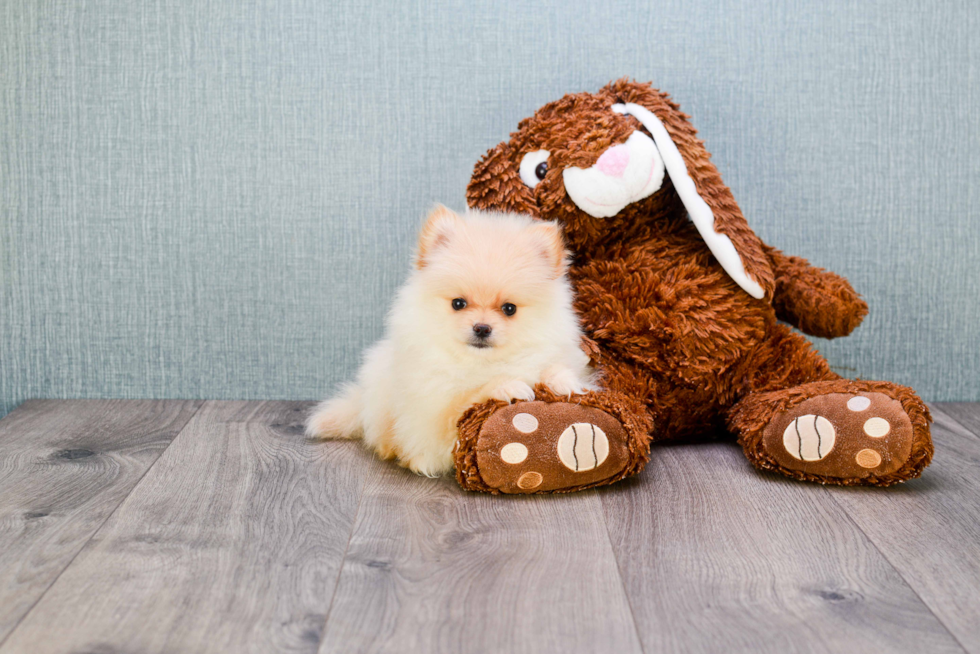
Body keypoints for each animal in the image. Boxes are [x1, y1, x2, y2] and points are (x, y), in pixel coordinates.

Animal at [308, 205, 596, 476]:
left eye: (509, 309)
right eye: (458, 303)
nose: (482, 328)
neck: (482, 362)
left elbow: (556, 366)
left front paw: (564, 381)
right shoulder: (434, 416)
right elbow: (465, 398)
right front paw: (506, 385)